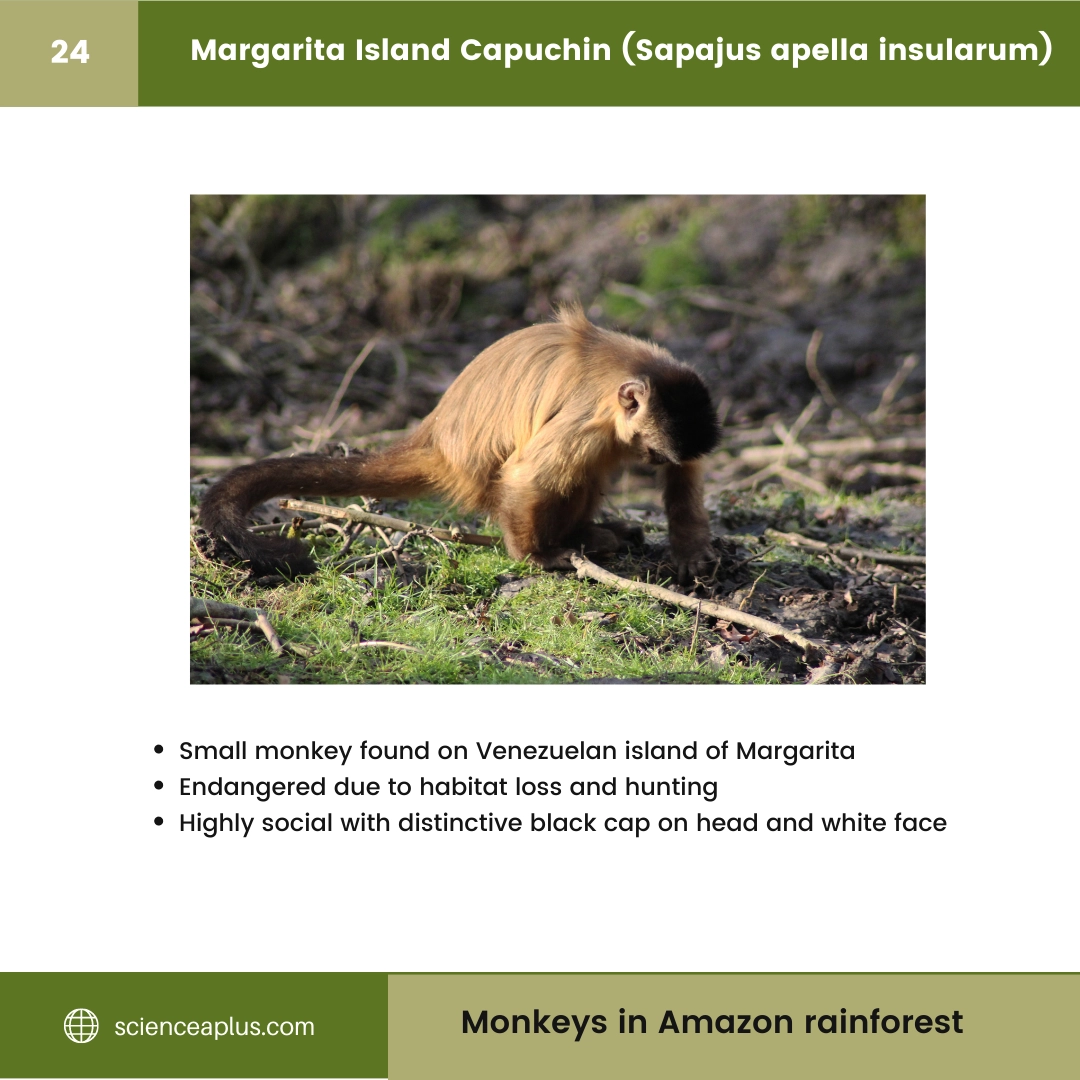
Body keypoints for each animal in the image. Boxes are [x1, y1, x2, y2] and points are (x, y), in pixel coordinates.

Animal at [200, 304, 721, 584]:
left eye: (656, 454)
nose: (648, 458)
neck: (628, 368)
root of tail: (436, 437)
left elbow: (686, 469)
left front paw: (689, 549)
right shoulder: (588, 422)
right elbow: (526, 476)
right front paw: (534, 556)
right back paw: (575, 540)